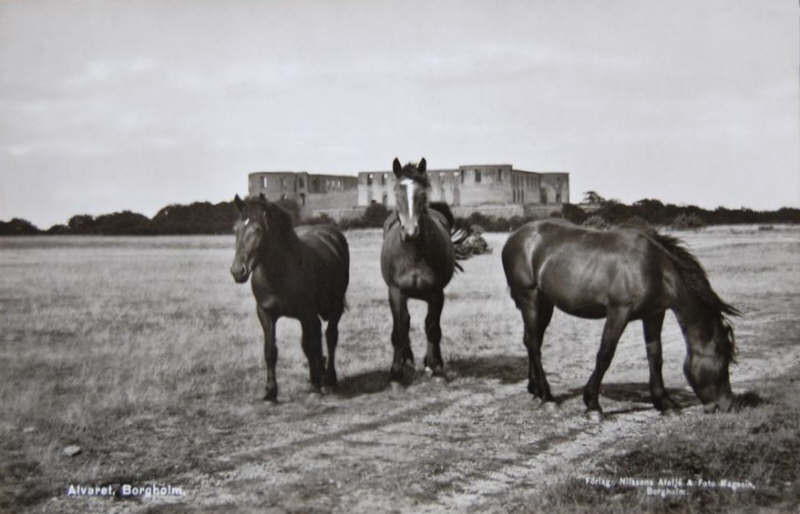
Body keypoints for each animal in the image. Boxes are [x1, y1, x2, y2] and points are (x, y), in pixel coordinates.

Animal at [228, 192, 346, 400]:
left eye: (258, 229)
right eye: (236, 229)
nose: (237, 271)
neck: (279, 273)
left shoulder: (307, 313)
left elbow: (314, 344)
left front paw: (319, 382)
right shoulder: (265, 314)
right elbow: (271, 351)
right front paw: (270, 391)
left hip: (335, 306)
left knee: (330, 337)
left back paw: (329, 379)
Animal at [378, 158, 466, 382]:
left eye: (422, 194)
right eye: (396, 192)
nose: (410, 232)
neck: (414, 254)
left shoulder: (436, 293)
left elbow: (432, 328)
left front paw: (435, 367)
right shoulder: (396, 292)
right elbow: (400, 329)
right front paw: (396, 372)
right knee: (405, 324)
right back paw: (407, 360)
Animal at [504, 217, 740, 416]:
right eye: (722, 361)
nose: (727, 405)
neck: (654, 267)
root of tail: (515, 237)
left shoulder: (654, 315)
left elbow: (655, 356)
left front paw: (664, 403)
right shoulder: (618, 312)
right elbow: (605, 354)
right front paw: (592, 405)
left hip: (545, 304)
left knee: (531, 341)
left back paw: (535, 390)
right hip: (530, 299)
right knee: (534, 344)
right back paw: (548, 397)